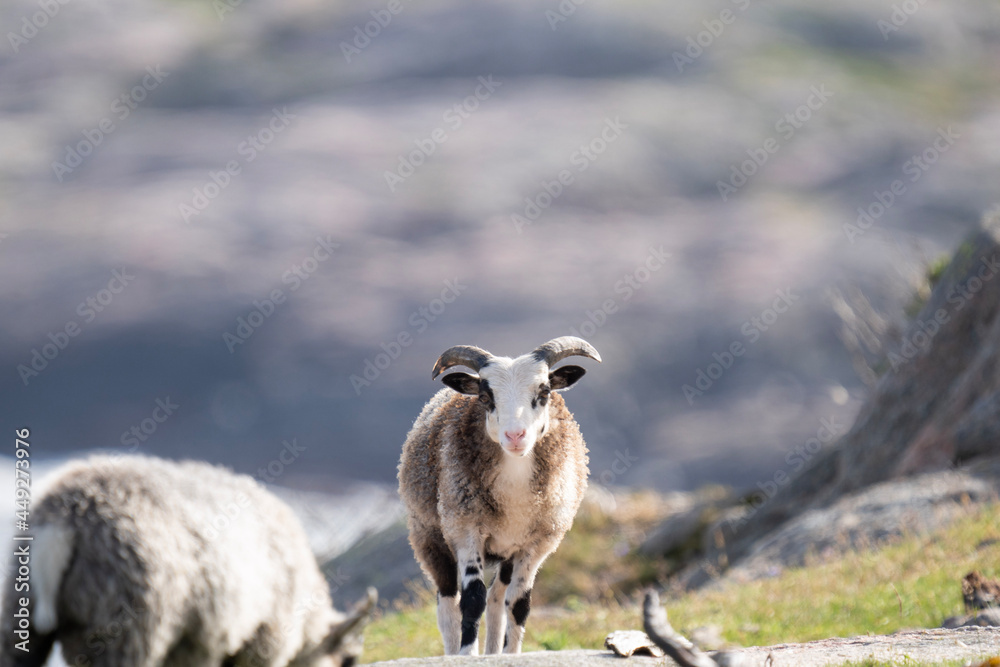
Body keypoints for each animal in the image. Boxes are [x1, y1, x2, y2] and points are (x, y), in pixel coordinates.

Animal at [0, 455, 375, 667]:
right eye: (349, 659)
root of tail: (64, 521)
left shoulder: (195, 642)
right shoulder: (262, 638)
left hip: (21, 609)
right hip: (126, 621)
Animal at [398, 336, 601, 655]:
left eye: (544, 391)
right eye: (484, 396)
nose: (515, 436)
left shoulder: (538, 543)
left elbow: (519, 604)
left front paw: (510, 654)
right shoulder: (465, 530)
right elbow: (472, 599)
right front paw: (467, 654)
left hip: (507, 549)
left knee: (496, 597)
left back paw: (493, 651)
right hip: (428, 535)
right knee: (447, 603)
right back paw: (453, 650)